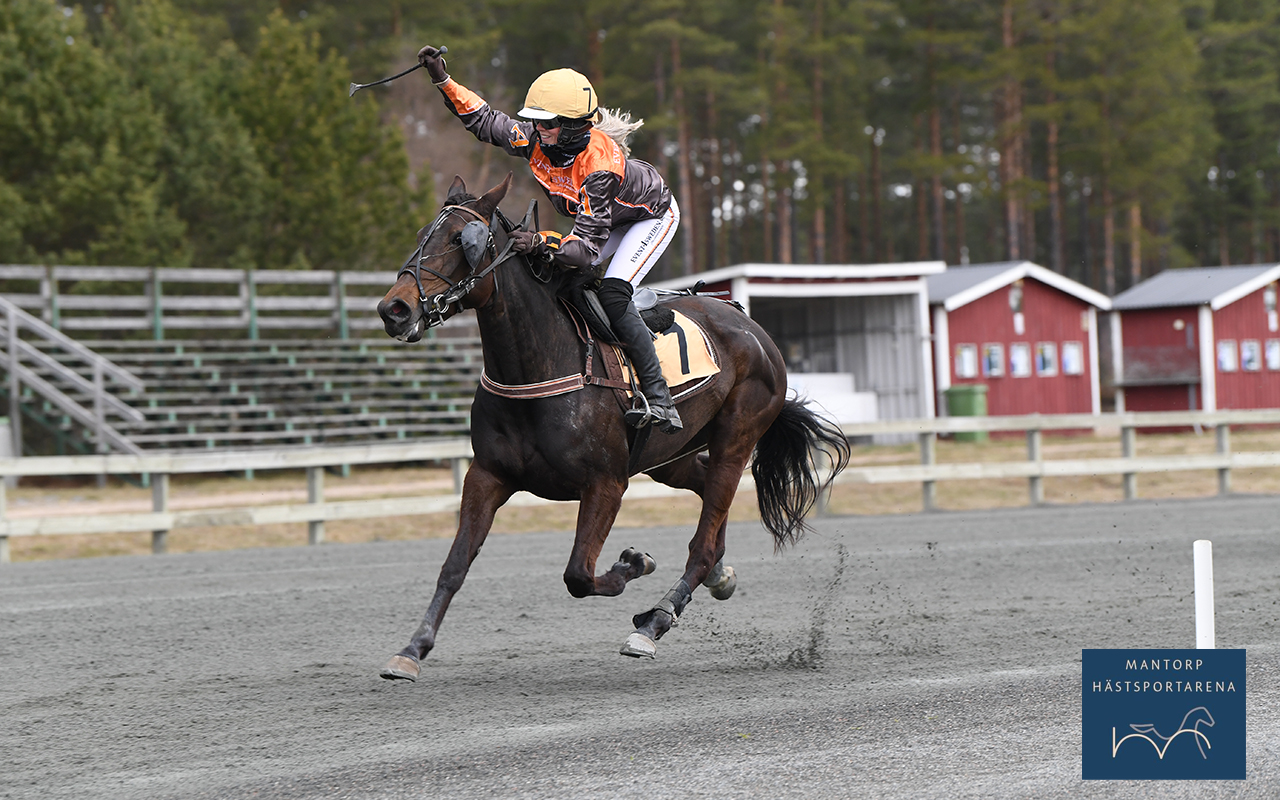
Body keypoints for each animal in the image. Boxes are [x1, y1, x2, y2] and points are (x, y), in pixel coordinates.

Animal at [371, 171, 849, 675]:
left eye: (463, 240)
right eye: (421, 235)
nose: (394, 310)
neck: (538, 366)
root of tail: (752, 327)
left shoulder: (605, 482)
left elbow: (578, 574)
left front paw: (634, 563)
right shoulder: (487, 475)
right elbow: (454, 565)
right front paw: (411, 650)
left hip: (735, 441)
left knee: (701, 542)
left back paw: (654, 622)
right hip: (668, 455)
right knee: (707, 509)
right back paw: (718, 577)